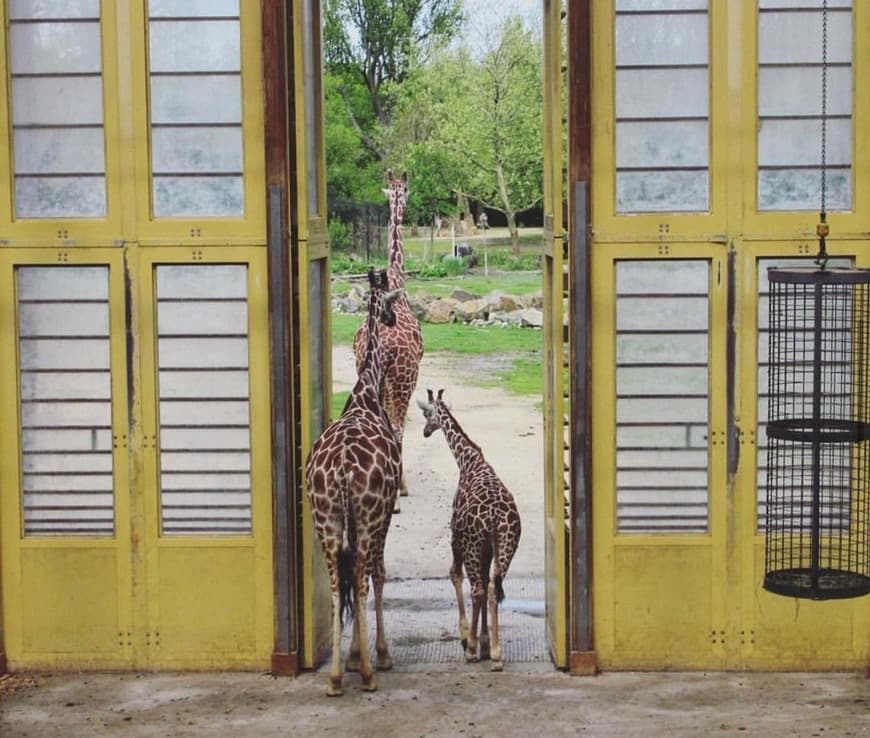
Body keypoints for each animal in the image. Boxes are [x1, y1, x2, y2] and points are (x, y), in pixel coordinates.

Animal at [418, 388, 520, 668]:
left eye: (426, 413)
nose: (425, 431)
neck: (468, 460)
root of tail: (495, 518)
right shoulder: (488, 549)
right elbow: (486, 583)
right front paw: (485, 641)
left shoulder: (456, 537)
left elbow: (455, 574)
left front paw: (468, 638)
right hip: (506, 546)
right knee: (492, 587)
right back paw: (495, 652)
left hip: (473, 546)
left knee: (477, 588)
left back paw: (472, 649)